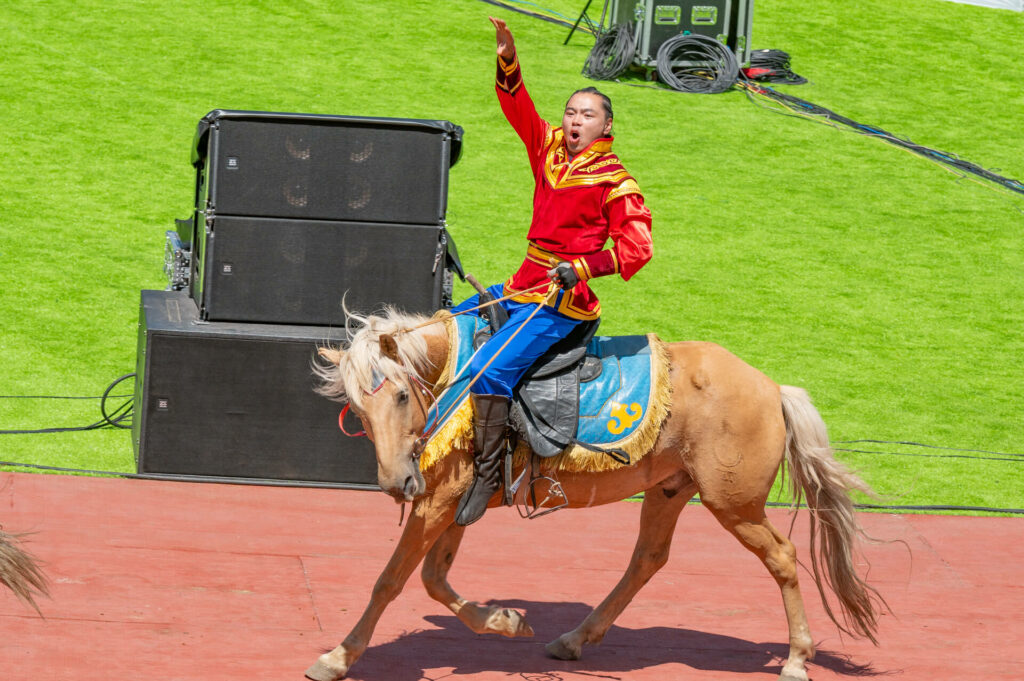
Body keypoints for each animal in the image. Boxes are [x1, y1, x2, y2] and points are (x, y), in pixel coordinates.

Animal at [307, 307, 884, 679]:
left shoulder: (439, 499)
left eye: (401, 396)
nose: (396, 483)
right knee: (647, 559)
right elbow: (433, 578)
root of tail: (771, 387)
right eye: (358, 411)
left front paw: (339, 656)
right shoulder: (456, 501)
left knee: (783, 557)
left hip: (732, 503)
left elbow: (392, 580)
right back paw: (574, 639)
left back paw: (796, 658)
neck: (463, 376)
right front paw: (504, 619)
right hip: (670, 490)